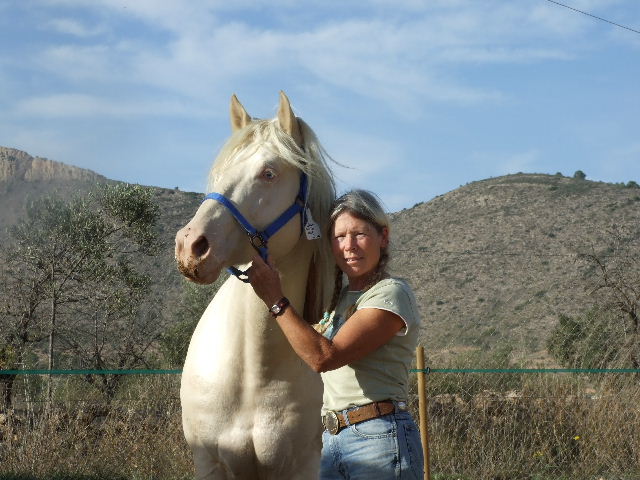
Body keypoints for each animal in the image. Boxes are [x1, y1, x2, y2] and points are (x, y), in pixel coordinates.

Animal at [172, 92, 338, 478]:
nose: (190, 246)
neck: (252, 377)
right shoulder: (209, 462)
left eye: (268, 173)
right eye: (219, 172)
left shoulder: (303, 467)